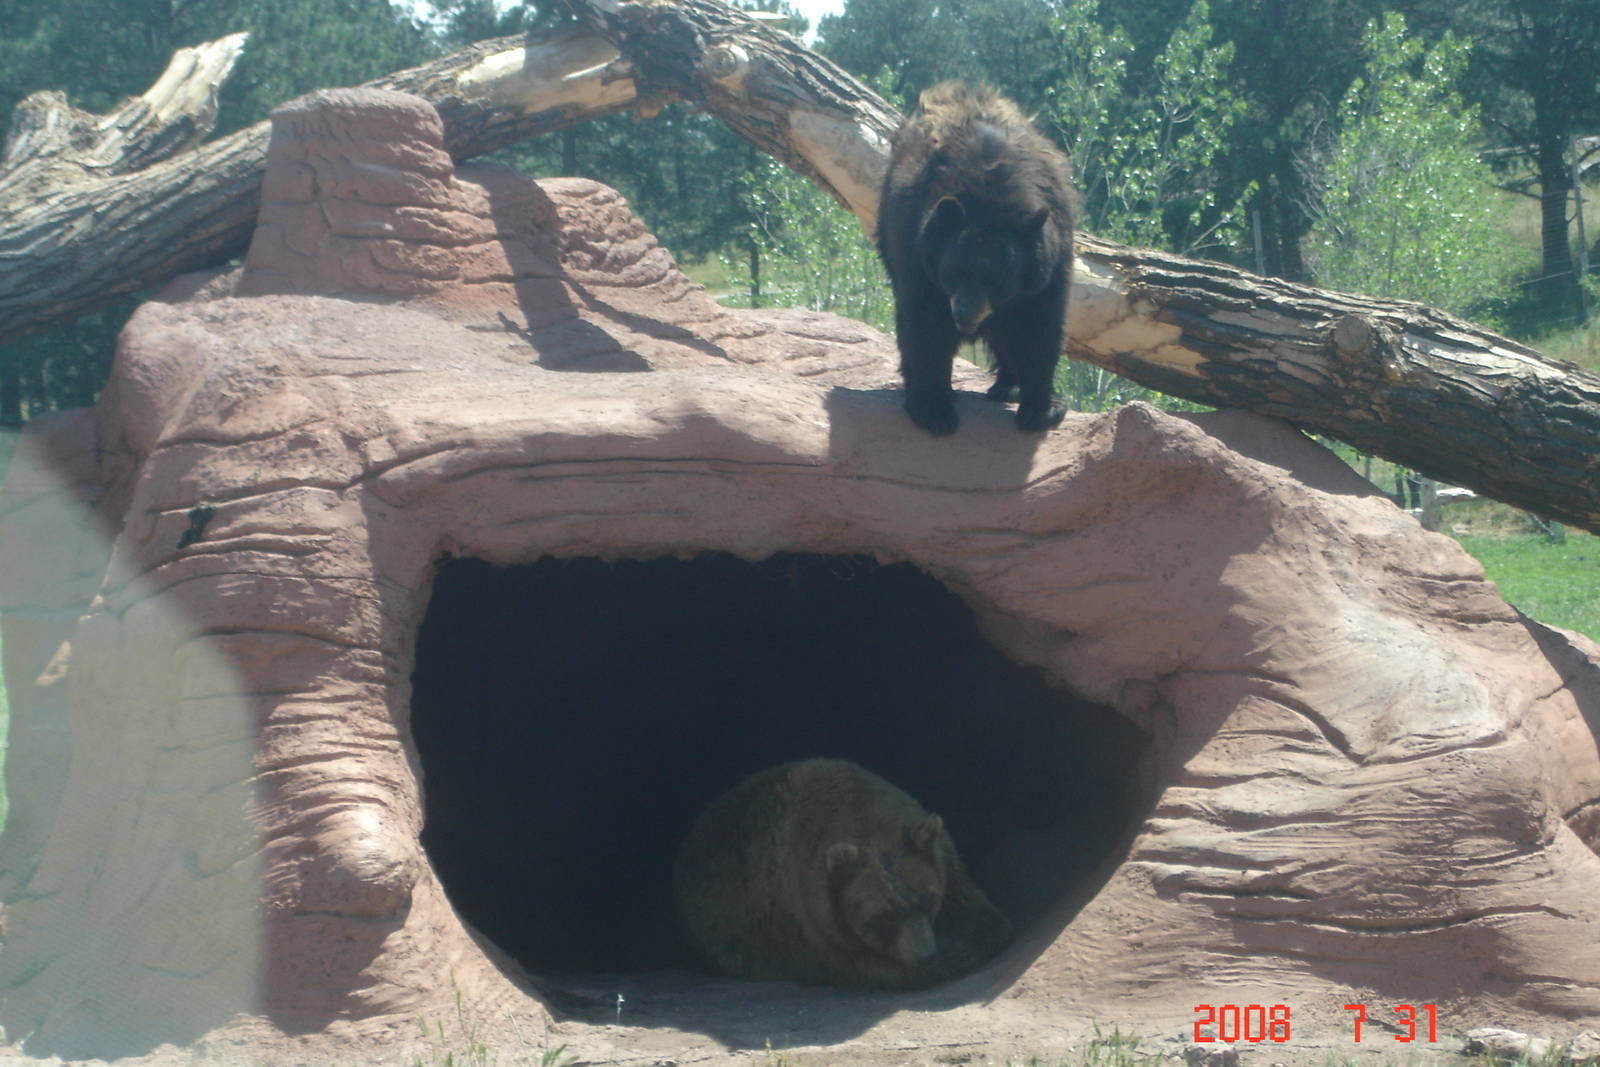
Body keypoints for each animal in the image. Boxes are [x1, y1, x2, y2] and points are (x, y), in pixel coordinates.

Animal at [673, 757, 1013, 990]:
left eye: (927, 898)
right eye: (882, 916)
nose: (925, 953)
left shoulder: (943, 860)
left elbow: (978, 910)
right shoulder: (807, 921)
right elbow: (866, 968)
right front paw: (951, 957)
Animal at [876, 81, 1076, 436]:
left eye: (996, 280)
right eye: (953, 273)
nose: (965, 315)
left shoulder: (1048, 266)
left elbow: (1040, 325)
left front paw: (1041, 409)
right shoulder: (918, 254)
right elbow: (926, 325)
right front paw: (934, 408)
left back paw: (1009, 385)